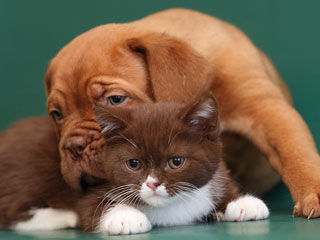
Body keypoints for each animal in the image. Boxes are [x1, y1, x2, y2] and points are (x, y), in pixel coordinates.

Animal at [45, 8, 320, 218]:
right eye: (57, 114)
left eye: (116, 99)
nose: (75, 147)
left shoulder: (265, 108)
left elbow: (295, 152)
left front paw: (314, 191)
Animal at [75, 94, 270, 234]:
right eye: (134, 163)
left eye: (176, 161)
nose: (153, 184)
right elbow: (91, 206)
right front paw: (125, 216)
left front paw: (241, 202)